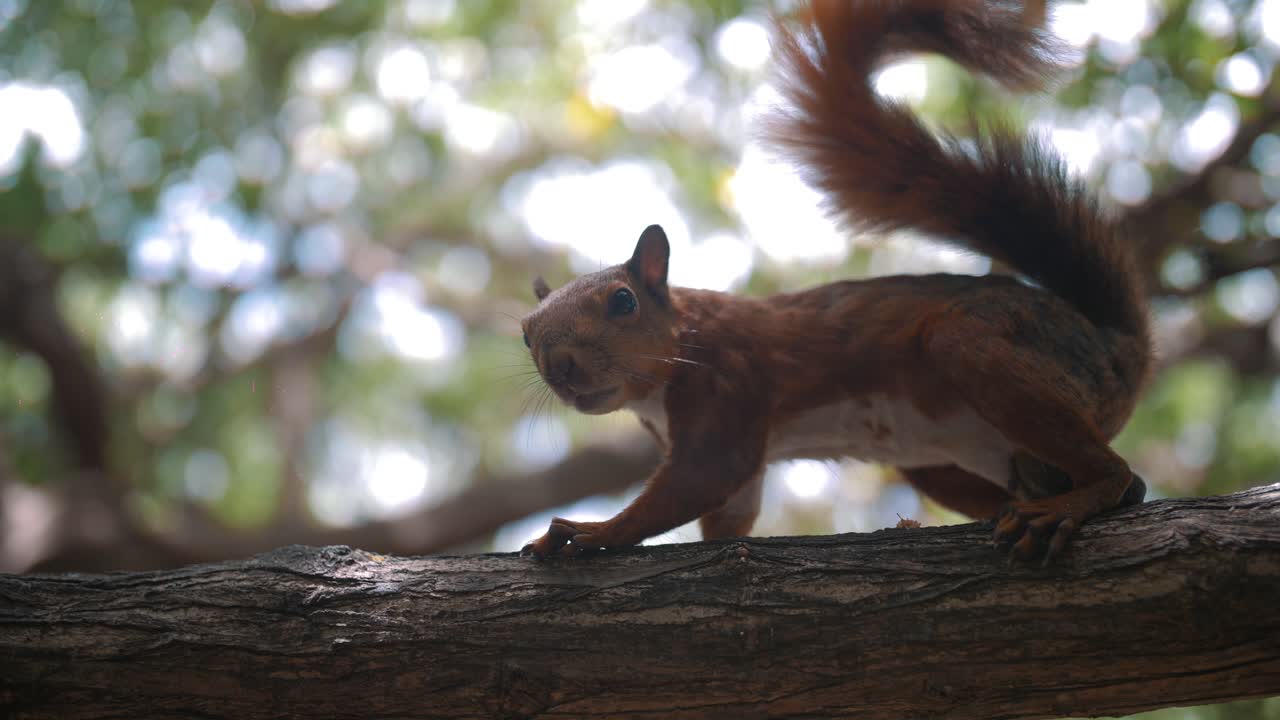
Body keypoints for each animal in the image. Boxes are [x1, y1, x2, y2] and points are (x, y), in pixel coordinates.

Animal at [519, 0, 1151, 564]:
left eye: (623, 301)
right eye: (526, 332)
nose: (561, 367)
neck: (672, 359)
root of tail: (1117, 348)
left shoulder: (730, 378)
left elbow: (704, 476)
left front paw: (593, 532)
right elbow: (729, 510)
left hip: (982, 349)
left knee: (1115, 472)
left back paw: (1069, 505)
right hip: (954, 460)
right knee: (1124, 485)